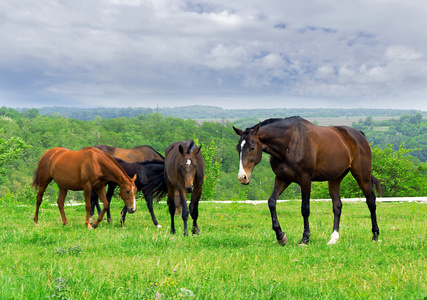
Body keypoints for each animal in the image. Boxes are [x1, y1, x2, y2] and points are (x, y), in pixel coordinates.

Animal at [236, 117, 382, 246]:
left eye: (252, 147)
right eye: (238, 148)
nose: (242, 177)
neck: (289, 142)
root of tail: (359, 135)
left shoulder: (305, 180)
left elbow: (305, 209)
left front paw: (305, 239)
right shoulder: (282, 179)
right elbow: (271, 202)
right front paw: (281, 236)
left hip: (362, 176)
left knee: (371, 202)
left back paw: (375, 235)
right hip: (335, 179)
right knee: (337, 206)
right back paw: (333, 239)